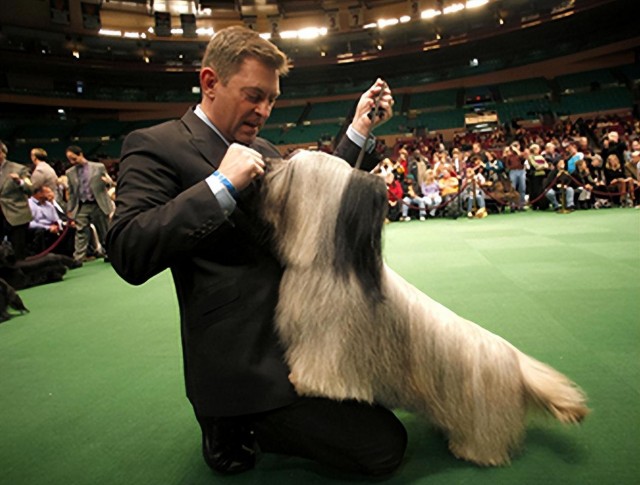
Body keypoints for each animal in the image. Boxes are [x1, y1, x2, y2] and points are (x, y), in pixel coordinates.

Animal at [260, 150, 592, 466]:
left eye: (291, 168)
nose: (267, 164)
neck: (328, 264)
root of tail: (515, 362)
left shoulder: (331, 340)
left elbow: (322, 367)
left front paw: (304, 381)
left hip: (480, 414)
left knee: (484, 439)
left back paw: (472, 452)